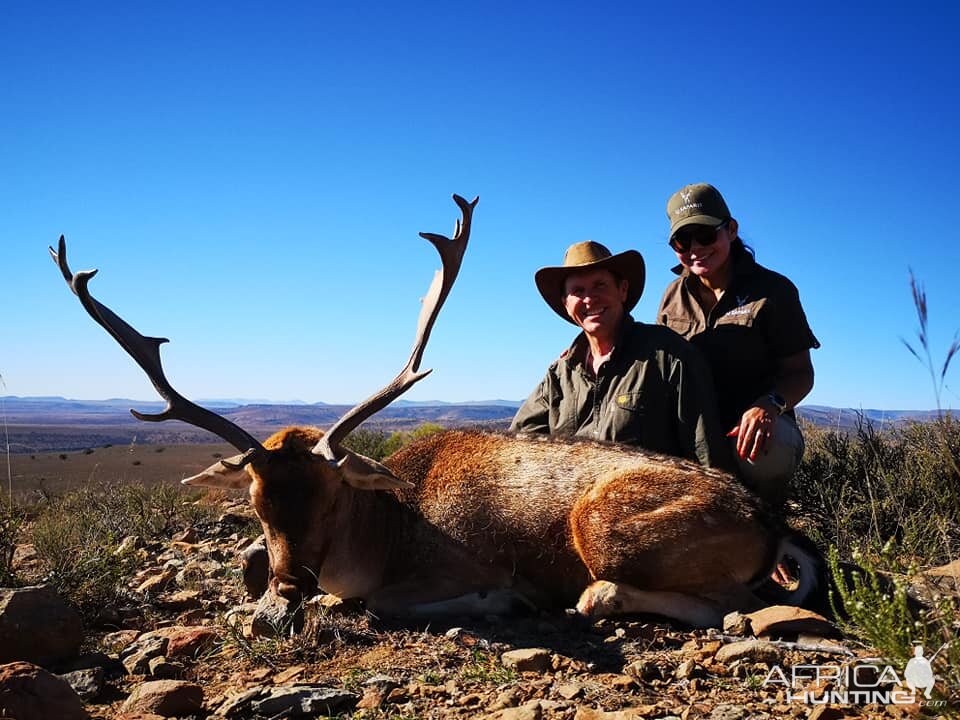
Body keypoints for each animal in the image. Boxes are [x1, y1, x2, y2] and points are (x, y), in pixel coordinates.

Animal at [48, 194, 820, 632]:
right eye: (257, 507)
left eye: (333, 498)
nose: (288, 588)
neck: (384, 536)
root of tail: (773, 526)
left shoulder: (460, 563)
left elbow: (381, 603)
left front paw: (501, 604)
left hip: (603, 527)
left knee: (721, 606)